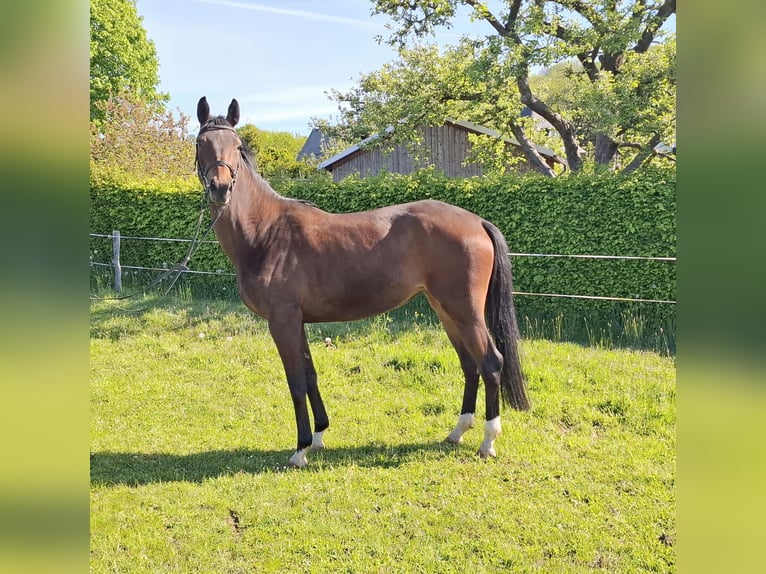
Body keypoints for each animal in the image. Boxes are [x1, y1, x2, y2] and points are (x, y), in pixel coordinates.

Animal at [194, 97, 530, 468]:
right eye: (200, 143)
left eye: (237, 147)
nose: (220, 188)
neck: (266, 232)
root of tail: (477, 222)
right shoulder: (297, 322)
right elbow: (310, 376)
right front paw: (318, 436)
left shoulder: (282, 322)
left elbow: (296, 382)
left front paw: (300, 449)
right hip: (445, 310)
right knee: (470, 365)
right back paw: (457, 432)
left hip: (465, 311)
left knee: (490, 363)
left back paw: (487, 441)